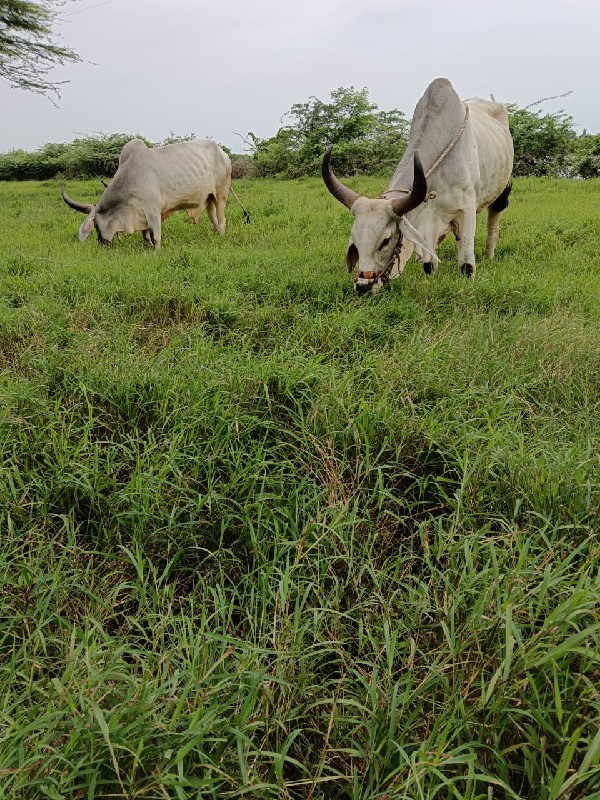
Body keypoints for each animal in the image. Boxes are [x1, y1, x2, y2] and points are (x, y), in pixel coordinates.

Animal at [61, 137, 230, 247]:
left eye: (95, 225)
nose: (102, 243)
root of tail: (223, 153)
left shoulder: (153, 211)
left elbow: (156, 237)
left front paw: (157, 251)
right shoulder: (141, 214)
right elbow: (146, 236)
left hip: (221, 194)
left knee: (222, 218)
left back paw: (221, 236)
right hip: (208, 198)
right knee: (213, 218)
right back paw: (214, 234)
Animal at [322, 76, 512, 290]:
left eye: (386, 240)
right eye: (355, 238)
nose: (363, 286)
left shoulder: (467, 208)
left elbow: (466, 266)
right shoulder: (427, 220)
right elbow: (429, 264)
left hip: (502, 190)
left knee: (493, 220)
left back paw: (489, 256)